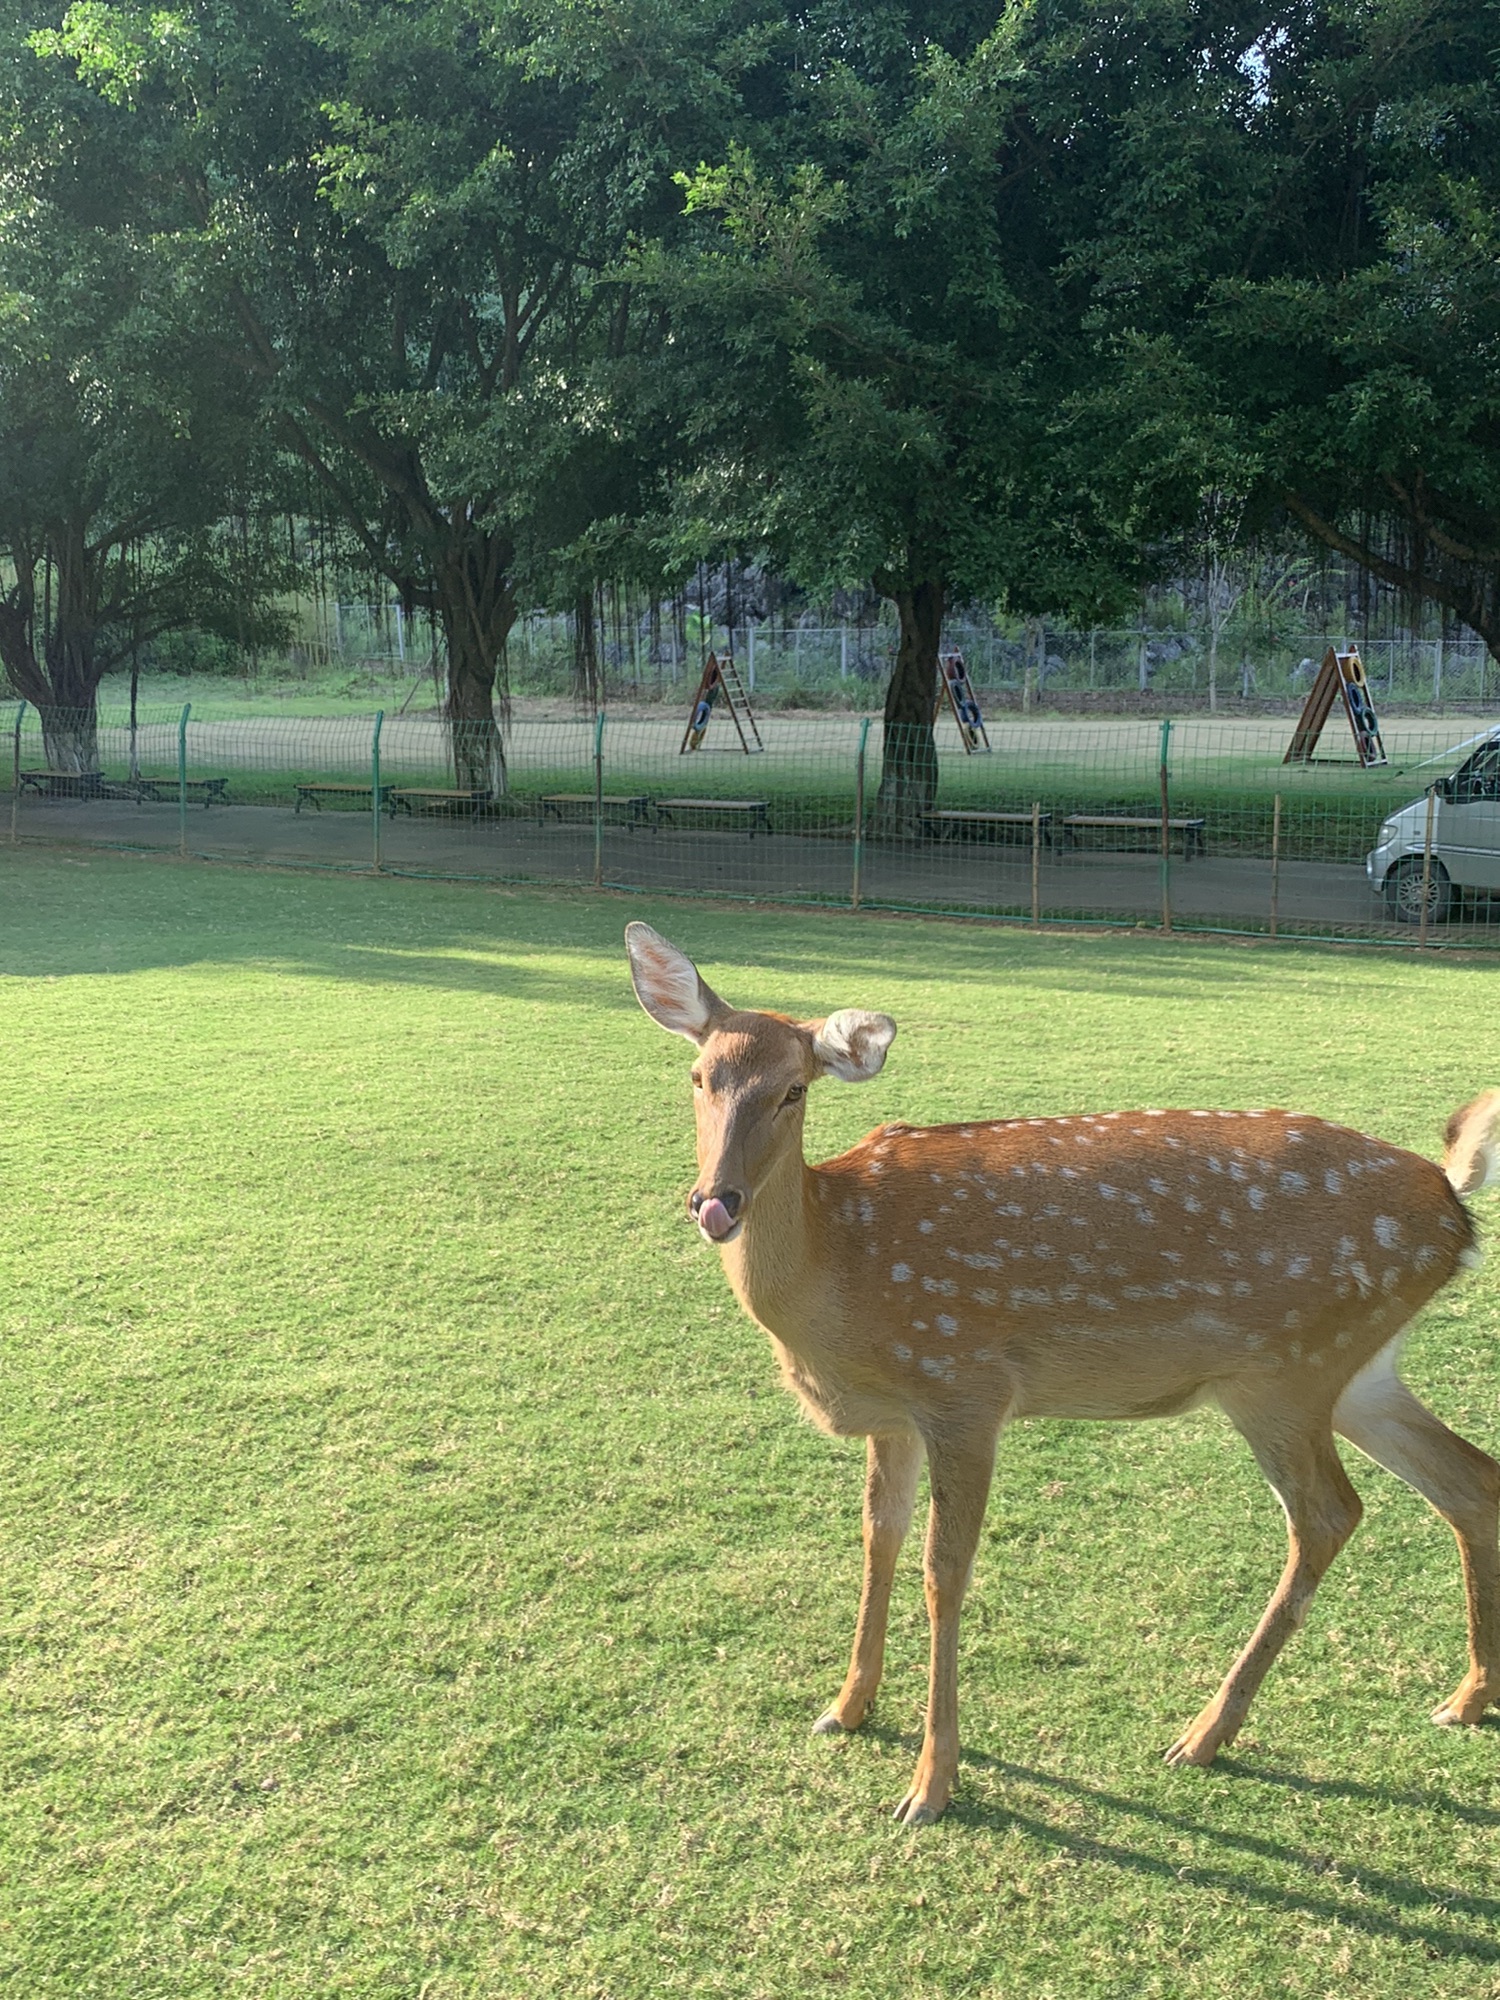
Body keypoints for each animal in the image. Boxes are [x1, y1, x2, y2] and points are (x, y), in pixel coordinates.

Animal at [624, 920, 1500, 1824]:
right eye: (699, 1076)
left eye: (795, 1089)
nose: (715, 1200)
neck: (836, 1279)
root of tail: (1453, 1202)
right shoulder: (895, 1413)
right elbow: (878, 1537)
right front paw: (845, 1708)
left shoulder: (964, 1384)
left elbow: (945, 1571)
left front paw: (930, 1784)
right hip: (1358, 1371)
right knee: (1471, 1480)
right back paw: (1466, 1698)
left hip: (1286, 1371)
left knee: (1330, 1513)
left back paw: (1204, 1734)